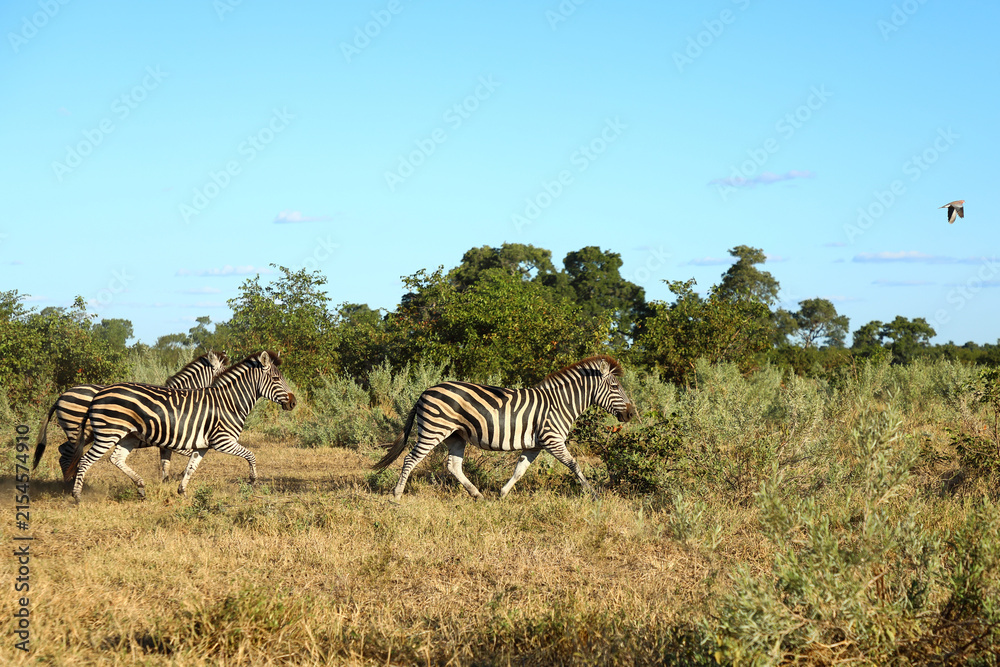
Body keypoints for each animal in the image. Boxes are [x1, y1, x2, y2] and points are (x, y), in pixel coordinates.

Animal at [33, 350, 229, 487]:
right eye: (224, 371)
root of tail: (61, 396)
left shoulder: (167, 441)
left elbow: (165, 462)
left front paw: (166, 482)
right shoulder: (176, 439)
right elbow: (185, 456)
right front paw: (178, 477)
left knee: (63, 450)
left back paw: (70, 481)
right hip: (80, 431)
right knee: (68, 452)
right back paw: (70, 483)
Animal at [68, 350, 296, 502]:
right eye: (276, 378)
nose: (293, 403)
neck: (229, 403)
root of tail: (99, 393)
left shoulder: (201, 445)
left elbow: (190, 467)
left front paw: (181, 491)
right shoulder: (222, 441)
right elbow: (251, 455)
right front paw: (252, 480)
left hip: (127, 436)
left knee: (115, 459)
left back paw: (140, 487)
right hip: (108, 433)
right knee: (86, 459)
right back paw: (76, 495)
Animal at [373, 355, 637, 500]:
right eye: (615, 387)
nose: (632, 413)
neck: (560, 403)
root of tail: (424, 391)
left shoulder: (535, 445)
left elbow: (520, 470)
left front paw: (502, 494)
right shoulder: (552, 439)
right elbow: (575, 465)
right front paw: (593, 494)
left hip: (456, 436)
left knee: (453, 466)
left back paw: (477, 494)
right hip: (433, 430)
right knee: (410, 459)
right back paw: (397, 495)